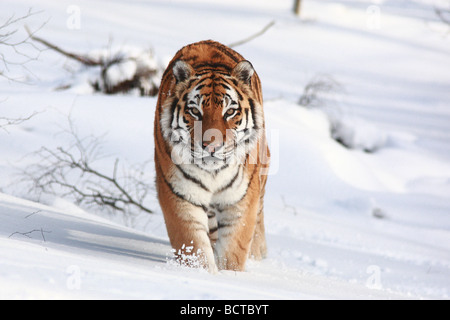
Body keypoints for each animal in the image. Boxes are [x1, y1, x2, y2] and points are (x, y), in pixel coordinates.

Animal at [154, 38, 270, 272]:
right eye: (195, 111)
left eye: (230, 112)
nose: (211, 146)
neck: (214, 172)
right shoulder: (180, 195)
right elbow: (193, 246)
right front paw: (204, 274)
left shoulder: (240, 200)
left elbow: (234, 250)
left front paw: (229, 275)